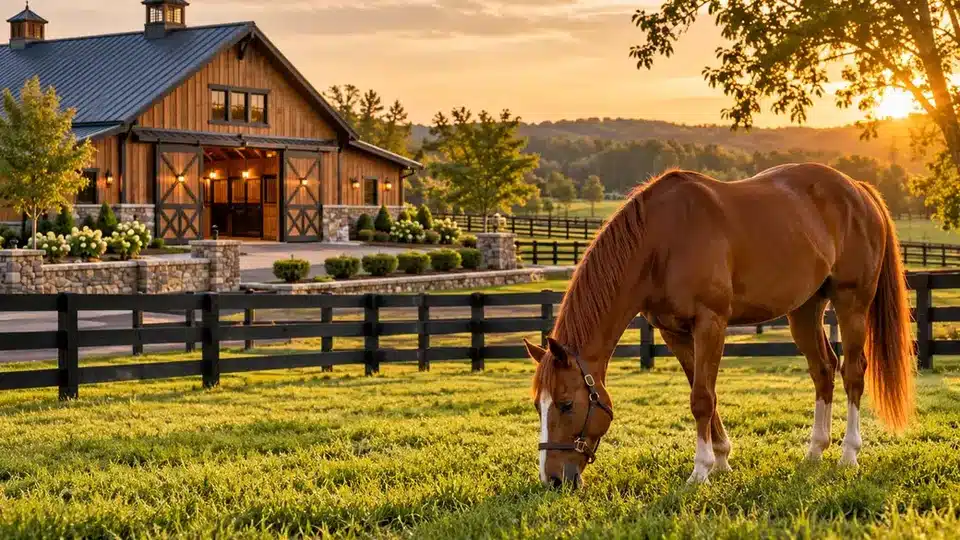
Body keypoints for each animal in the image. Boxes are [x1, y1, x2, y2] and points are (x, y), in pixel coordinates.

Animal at [525, 163, 915, 487]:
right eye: (538, 407)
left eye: (565, 404)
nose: (552, 479)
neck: (661, 240)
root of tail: (858, 189)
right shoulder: (674, 332)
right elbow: (702, 391)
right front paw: (723, 459)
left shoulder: (710, 323)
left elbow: (701, 398)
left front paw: (701, 470)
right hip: (805, 309)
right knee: (823, 369)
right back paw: (816, 450)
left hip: (852, 304)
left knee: (853, 372)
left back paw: (849, 454)